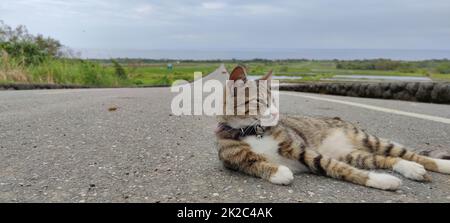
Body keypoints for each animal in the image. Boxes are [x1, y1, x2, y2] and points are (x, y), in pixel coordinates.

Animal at [214, 65, 450, 191]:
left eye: (274, 101)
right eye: (259, 102)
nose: (275, 114)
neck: (253, 131)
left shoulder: (302, 150)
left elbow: (338, 168)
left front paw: (381, 180)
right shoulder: (234, 160)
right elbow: (254, 163)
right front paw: (279, 171)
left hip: (367, 138)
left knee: (407, 153)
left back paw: (439, 165)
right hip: (354, 154)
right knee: (387, 159)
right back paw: (411, 169)